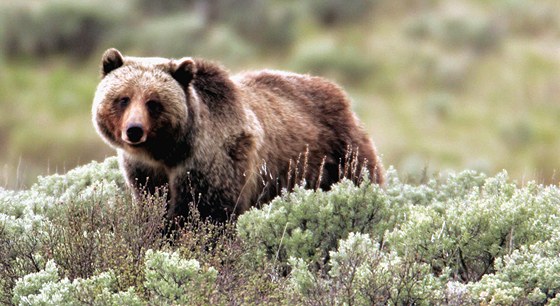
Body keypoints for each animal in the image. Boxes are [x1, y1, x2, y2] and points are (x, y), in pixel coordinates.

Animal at [92, 49, 382, 224]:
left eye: (153, 102)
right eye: (123, 98)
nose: (134, 130)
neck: (169, 152)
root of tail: (340, 93)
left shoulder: (214, 160)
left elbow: (206, 212)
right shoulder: (145, 171)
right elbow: (153, 204)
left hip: (338, 155)